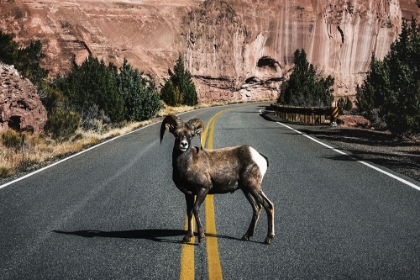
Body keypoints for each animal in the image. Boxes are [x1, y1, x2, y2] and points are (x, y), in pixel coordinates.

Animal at [159, 115, 274, 244]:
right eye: (176, 133)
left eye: (191, 135)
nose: (184, 144)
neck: (188, 163)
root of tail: (259, 156)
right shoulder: (188, 194)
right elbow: (189, 212)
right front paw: (188, 237)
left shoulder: (203, 189)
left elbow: (195, 209)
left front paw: (201, 237)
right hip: (247, 190)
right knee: (257, 207)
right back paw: (246, 236)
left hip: (253, 186)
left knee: (268, 205)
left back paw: (268, 238)